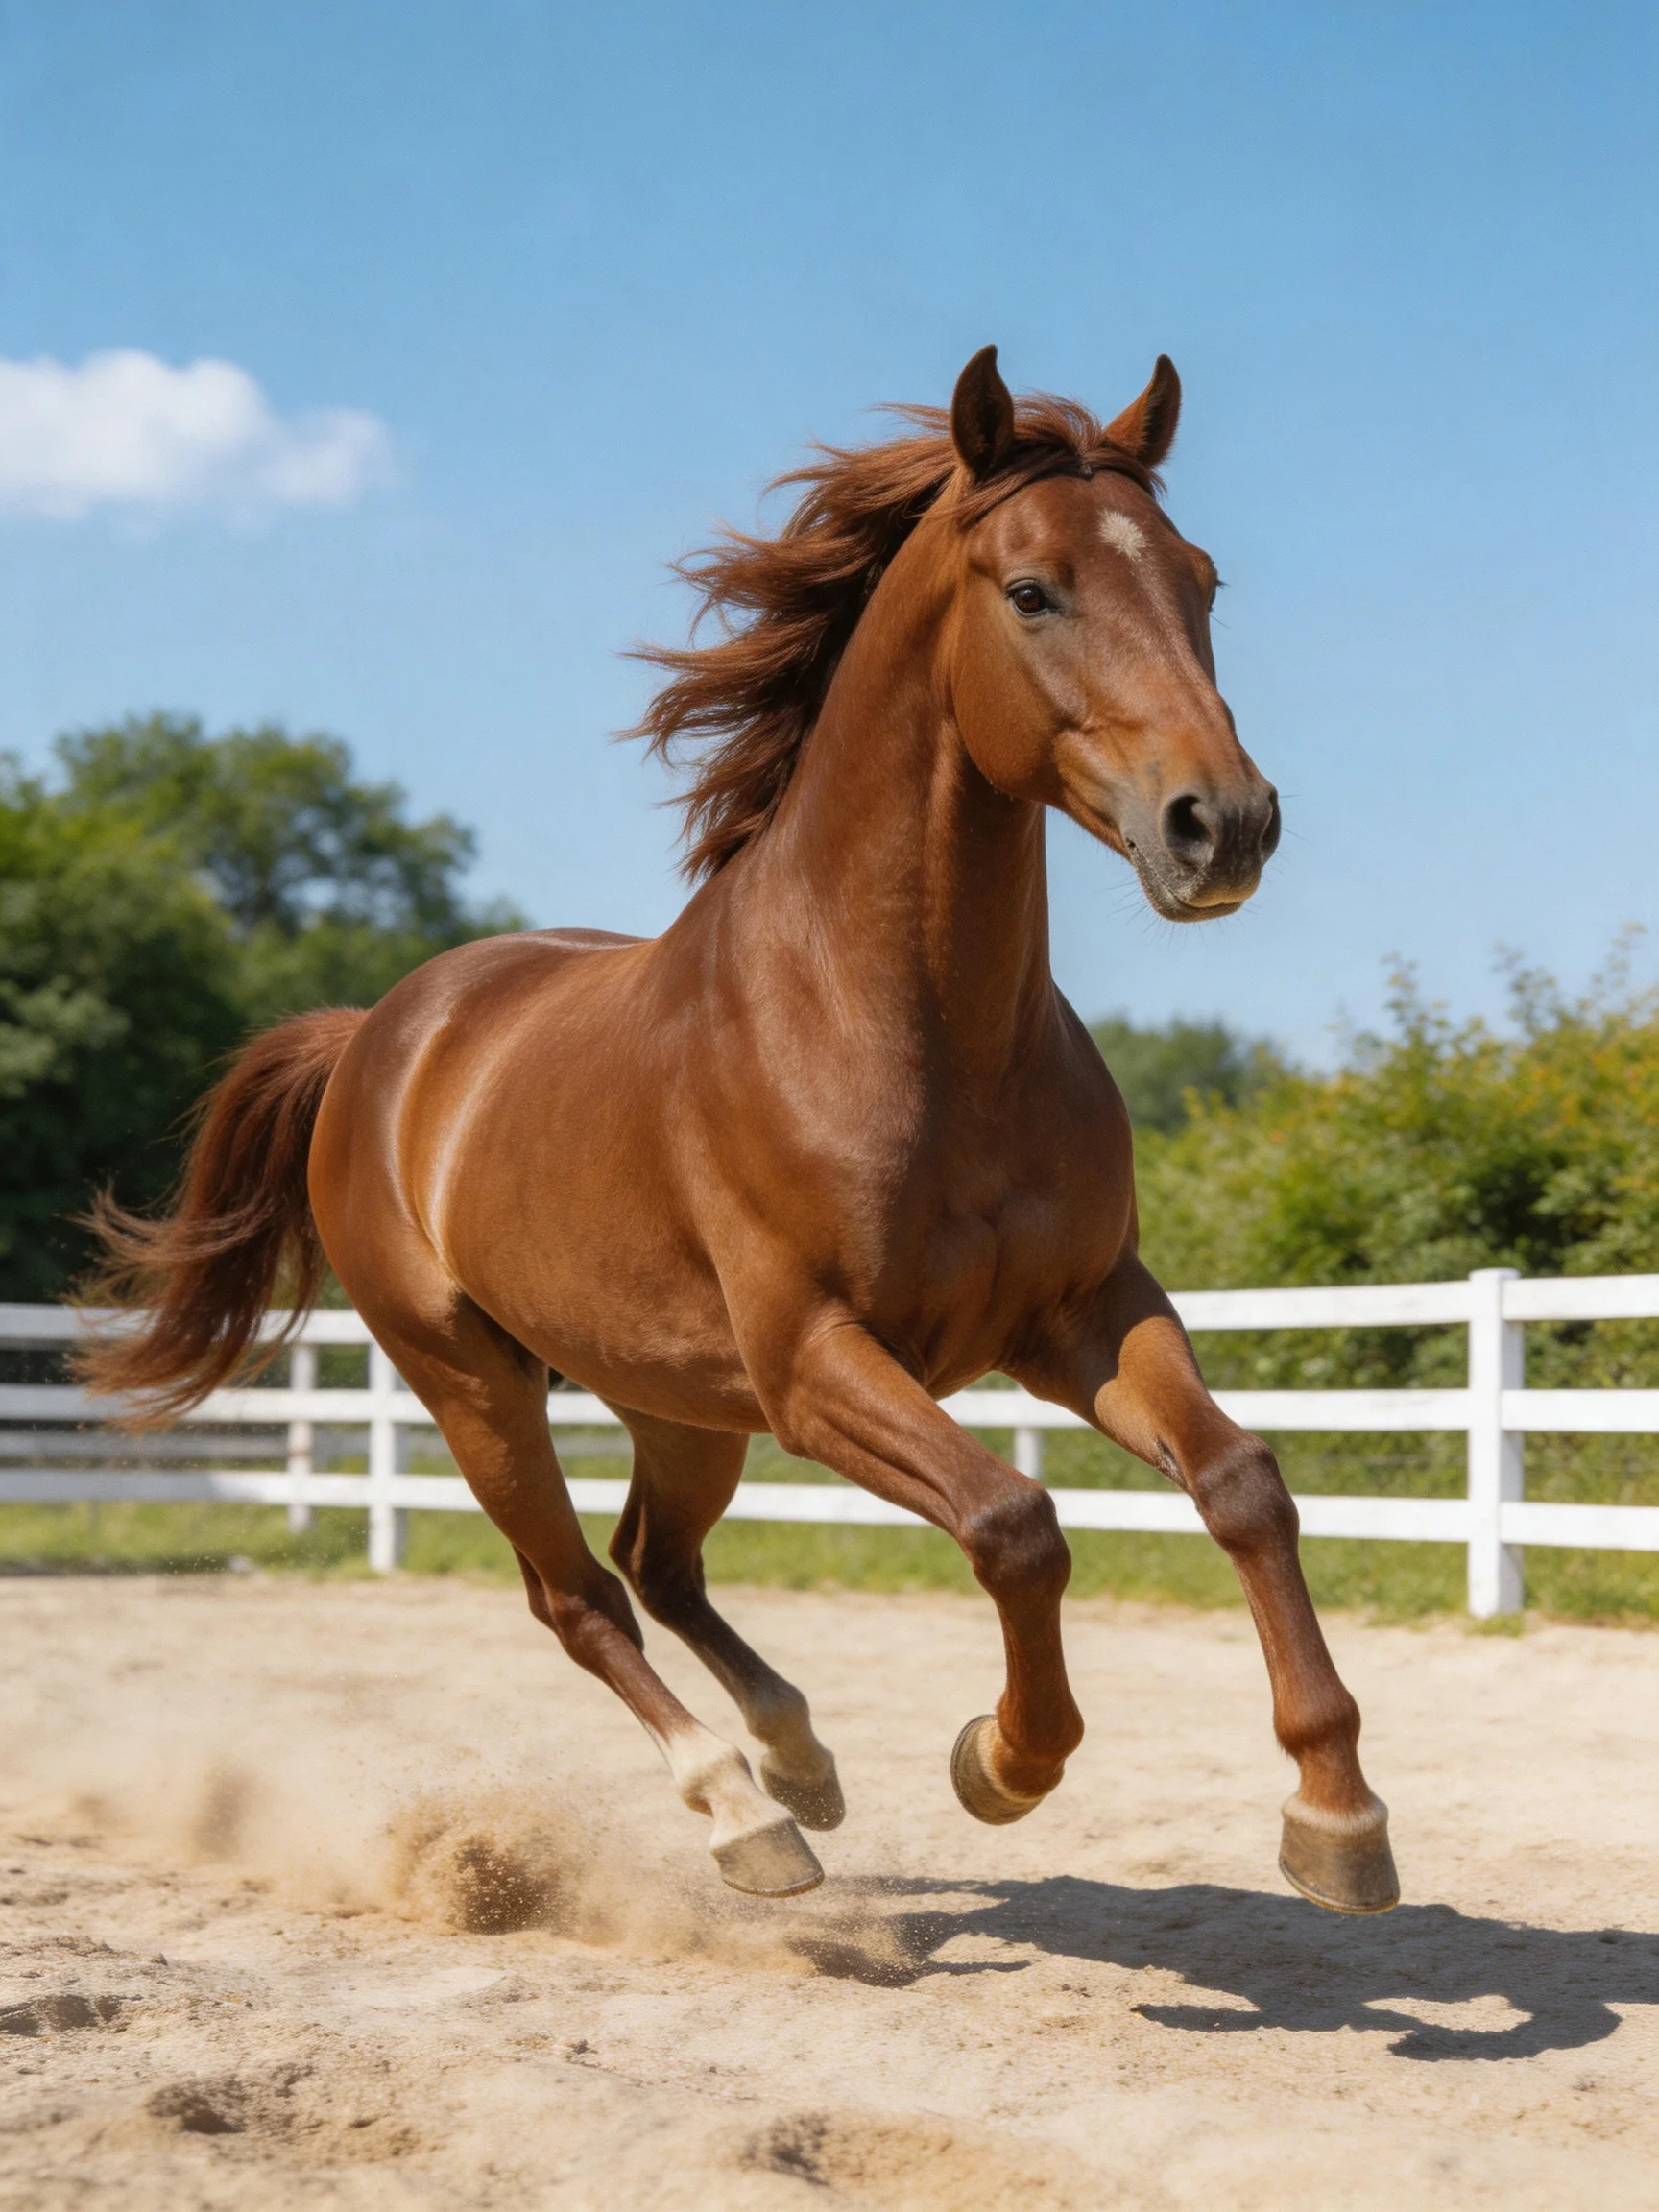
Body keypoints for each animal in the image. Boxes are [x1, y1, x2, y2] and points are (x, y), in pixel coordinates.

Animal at [83, 346, 1399, 1916]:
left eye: (1202, 581)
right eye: (1033, 592)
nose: (1225, 826)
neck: (908, 1029)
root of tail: (375, 1040)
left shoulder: (1081, 1312)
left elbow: (1244, 1484)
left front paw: (1337, 1814)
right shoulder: (818, 1361)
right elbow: (1014, 1525)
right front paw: (1002, 1761)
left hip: (676, 1398)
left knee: (660, 1563)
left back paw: (799, 1763)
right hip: (475, 1383)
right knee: (580, 1594)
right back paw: (742, 1818)